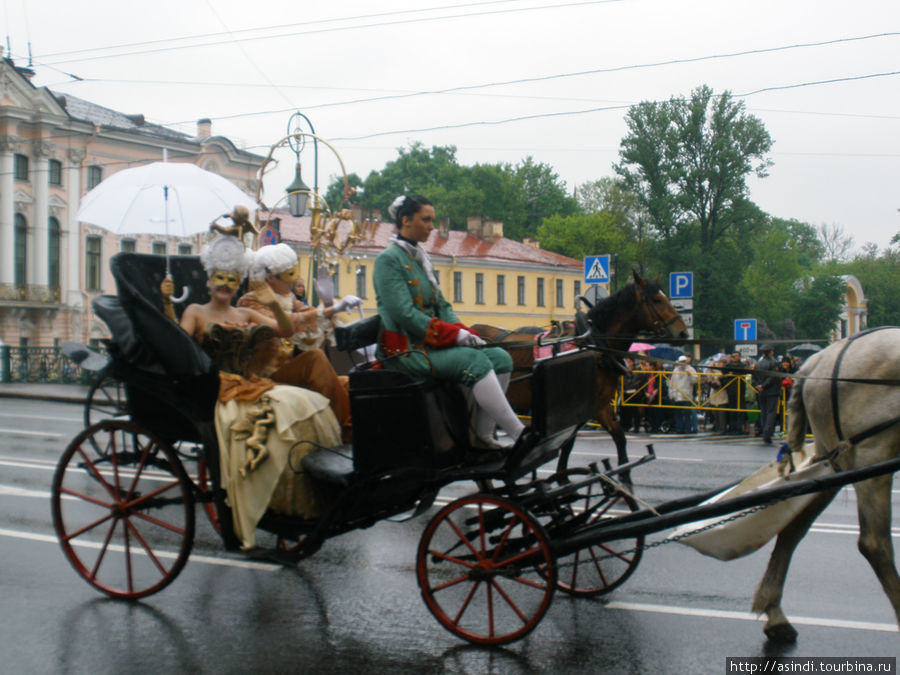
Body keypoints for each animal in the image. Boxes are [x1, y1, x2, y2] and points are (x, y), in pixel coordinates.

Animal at [472, 272, 688, 468]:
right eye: (657, 300)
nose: (683, 332)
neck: (592, 346)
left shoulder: (599, 406)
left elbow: (617, 437)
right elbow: (567, 444)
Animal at [752, 330, 900, 640]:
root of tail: (818, 362)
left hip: (832, 463)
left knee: (793, 528)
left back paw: (775, 614)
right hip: (871, 455)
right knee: (875, 543)